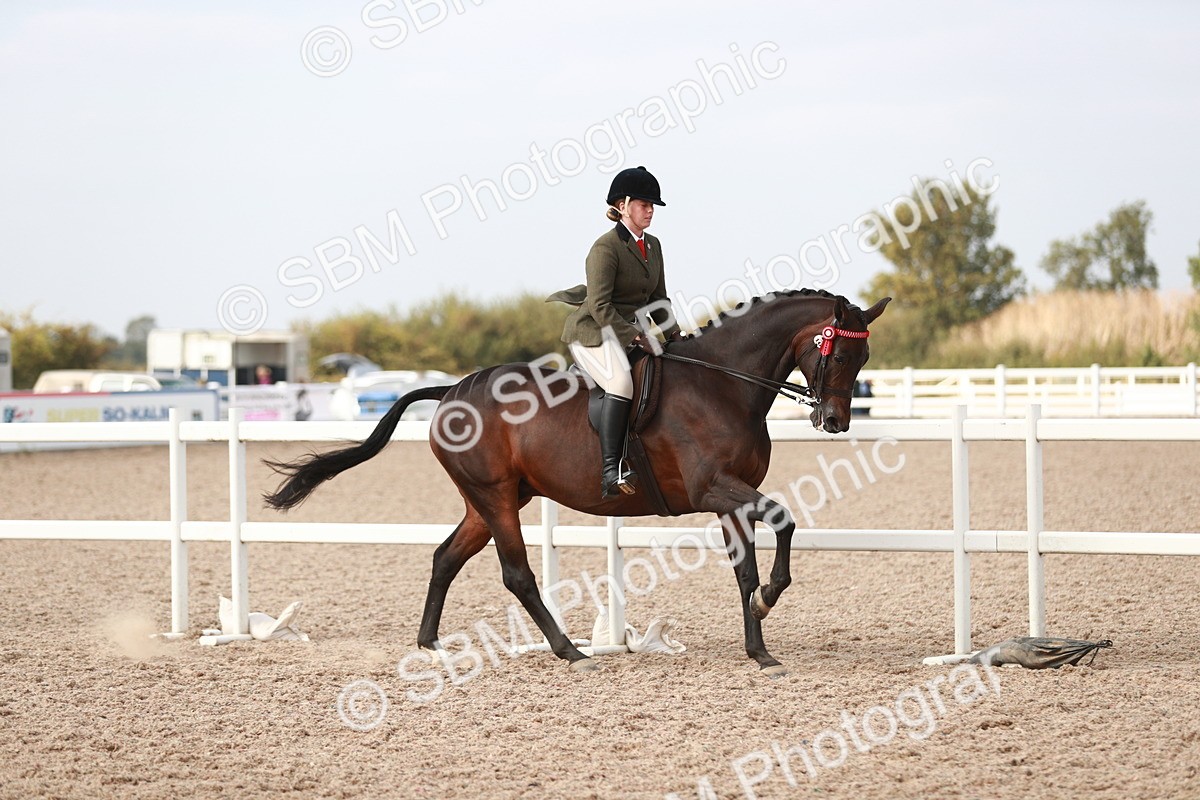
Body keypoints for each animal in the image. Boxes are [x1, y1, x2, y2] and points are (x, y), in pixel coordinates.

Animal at [264, 289, 890, 677]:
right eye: (838, 353)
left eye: (864, 358)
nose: (836, 421)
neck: (723, 385)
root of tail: (451, 391)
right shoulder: (713, 489)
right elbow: (783, 519)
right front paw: (767, 604)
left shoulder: (731, 501)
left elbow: (746, 571)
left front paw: (759, 645)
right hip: (496, 498)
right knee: (516, 573)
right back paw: (569, 651)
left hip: (489, 500)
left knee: (446, 557)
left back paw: (431, 644)